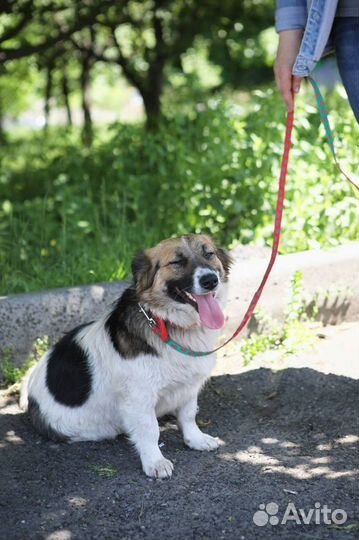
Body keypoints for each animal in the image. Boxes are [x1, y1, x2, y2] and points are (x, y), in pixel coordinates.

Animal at [20, 234, 233, 478]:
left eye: (209, 254)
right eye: (177, 262)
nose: (210, 280)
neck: (168, 323)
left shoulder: (189, 386)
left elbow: (188, 415)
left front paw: (195, 439)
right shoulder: (139, 397)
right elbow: (150, 430)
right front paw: (154, 461)